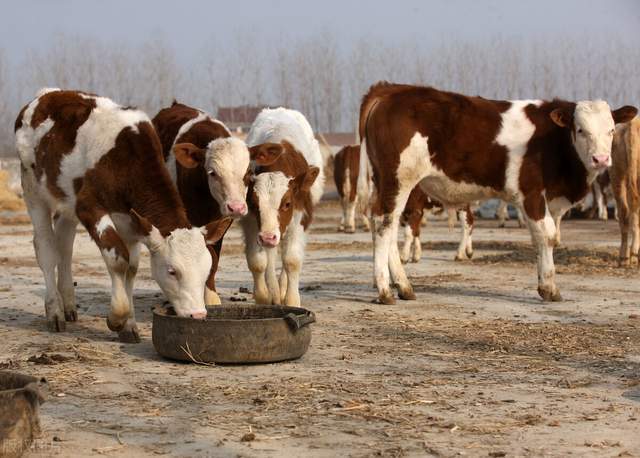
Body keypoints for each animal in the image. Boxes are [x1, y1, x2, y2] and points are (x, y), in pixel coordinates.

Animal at [15, 88, 232, 344]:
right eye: (172, 271)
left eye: (207, 269)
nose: (197, 315)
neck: (127, 158)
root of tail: (49, 94)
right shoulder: (88, 206)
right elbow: (118, 259)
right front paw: (117, 317)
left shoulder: (132, 221)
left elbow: (132, 267)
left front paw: (129, 325)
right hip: (33, 189)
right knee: (47, 249)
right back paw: (55, 312)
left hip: (66, 199)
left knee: (65, 245)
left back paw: (68, 304)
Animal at [151, 102, 251, 306]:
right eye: (212, 172)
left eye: (247, 173)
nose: (236, 207)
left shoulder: (221, 223)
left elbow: (213, 256)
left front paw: (211, 297)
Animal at [241, 108, 324, 308]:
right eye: (254, 203)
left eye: (287, 203)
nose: (267, 237)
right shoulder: (251, 222)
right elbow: (257, 261)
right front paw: (264, 296)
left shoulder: (300, 218)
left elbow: (291, 261)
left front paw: (292, 300)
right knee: (270, 257)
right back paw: (274, 291)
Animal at [358, 82, 636, 304]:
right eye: (580, 129)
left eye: (611, 130)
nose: (601, 159)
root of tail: (390, 90)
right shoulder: (531, 193)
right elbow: (546, 235)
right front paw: (549, 288)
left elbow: (548, 237)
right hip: (399, 180)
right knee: (384, 224)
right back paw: (385, 291)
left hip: (385, 182)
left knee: (386, 223)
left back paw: (403, 286)